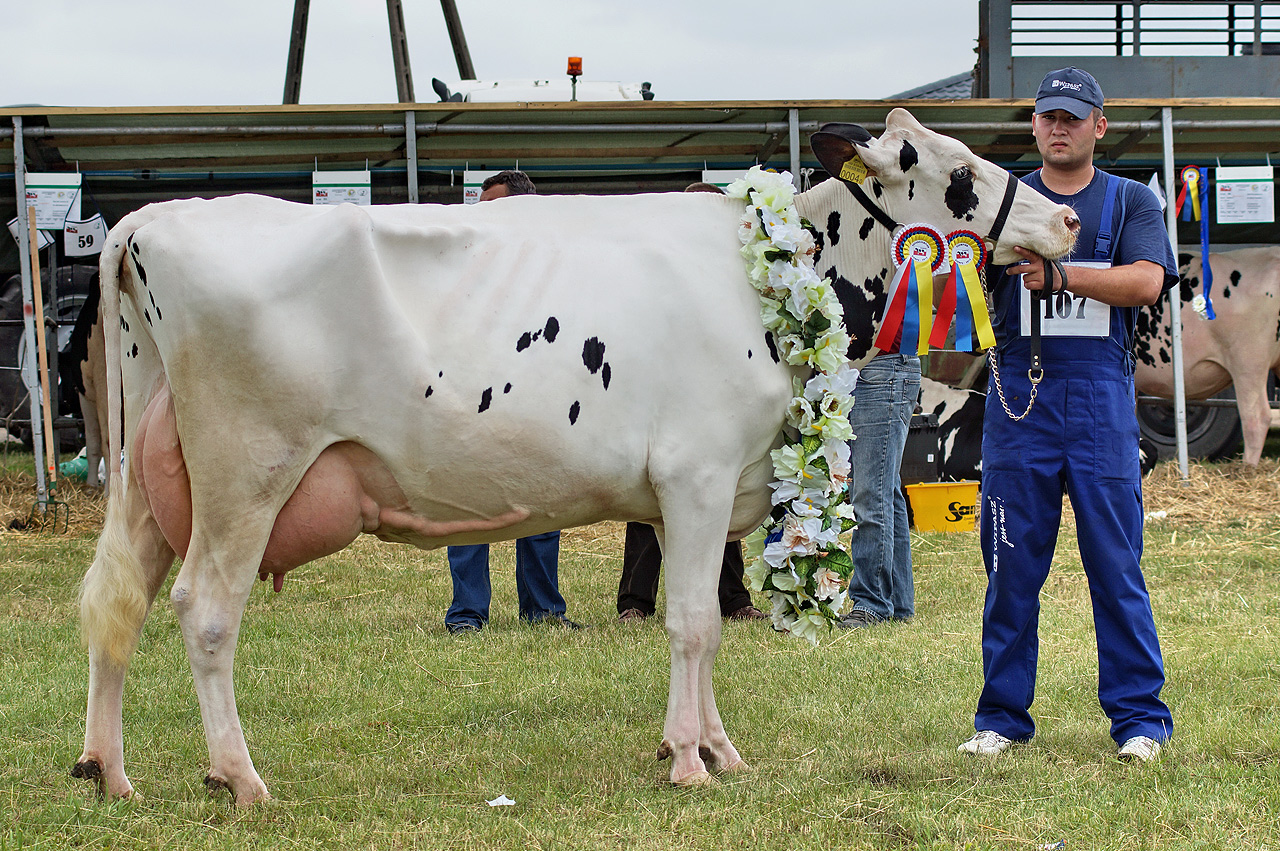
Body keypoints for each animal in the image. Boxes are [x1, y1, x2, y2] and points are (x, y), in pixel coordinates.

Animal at [72, 108, 1080, 803]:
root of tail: (149, 219)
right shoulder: (698, 472)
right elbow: (694, 623)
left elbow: (704, 624)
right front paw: (690, 761)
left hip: (157, 476)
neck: (770, 274)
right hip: (247, 470)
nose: (1067, 225)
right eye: (958, 172)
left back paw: (109, 768)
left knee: (118, 601)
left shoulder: (693, 490)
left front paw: (710, 744)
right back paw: (238, 776)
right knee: (204, 610)